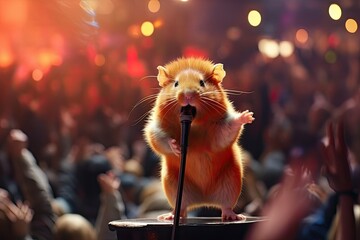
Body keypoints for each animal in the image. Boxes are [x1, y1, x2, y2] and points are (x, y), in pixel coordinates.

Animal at [142, 57, 255, 220]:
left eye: (202, 83)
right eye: (176, 83)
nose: (188, 95)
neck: (194, 126)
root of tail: (204, 199)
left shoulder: (219, 132)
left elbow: (227, 130)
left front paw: (247, 116)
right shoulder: (155, 128)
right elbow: (160, 139)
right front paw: (176, 146)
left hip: (230, 184)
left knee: (226, 206)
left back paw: (233, 216)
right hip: (174, 188)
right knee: (181, 208)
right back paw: (168, 216)